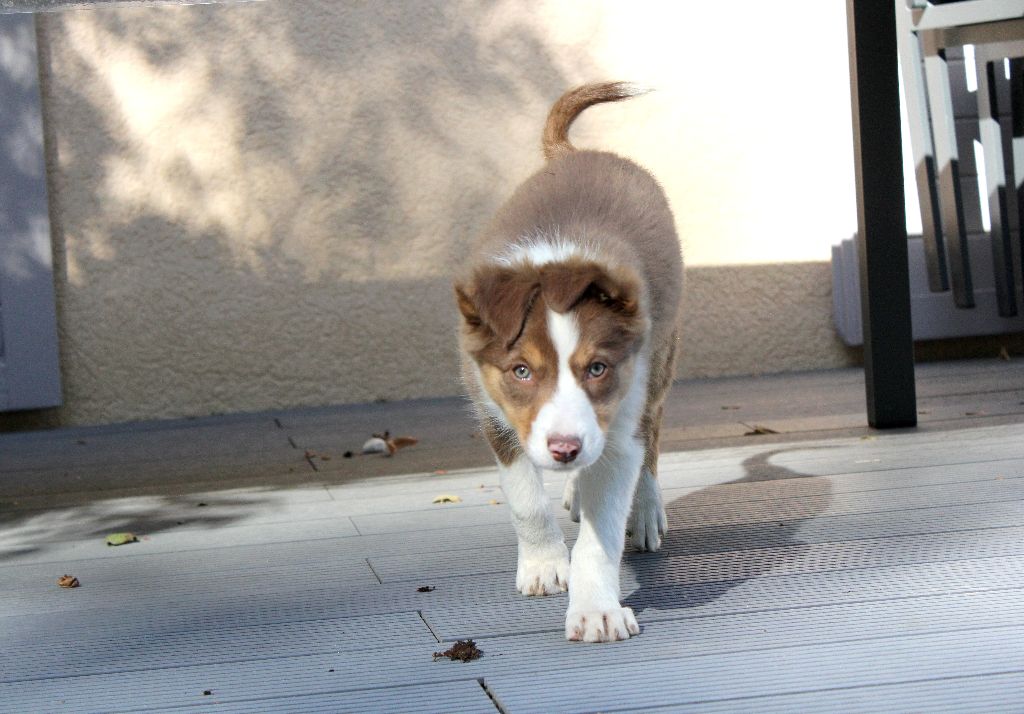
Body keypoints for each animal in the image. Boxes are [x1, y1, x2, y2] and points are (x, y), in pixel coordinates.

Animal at [454, 80, 679, 643]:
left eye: (598, 368)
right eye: (521, 371)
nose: (564, 450)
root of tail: (576, 154)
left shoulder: (621, 422)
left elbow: (602, 534)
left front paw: (596, 610)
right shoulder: (494, 413)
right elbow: (523, 498)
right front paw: (543, 567)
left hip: (661, 362)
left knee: (654, 434)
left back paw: (646, 509)